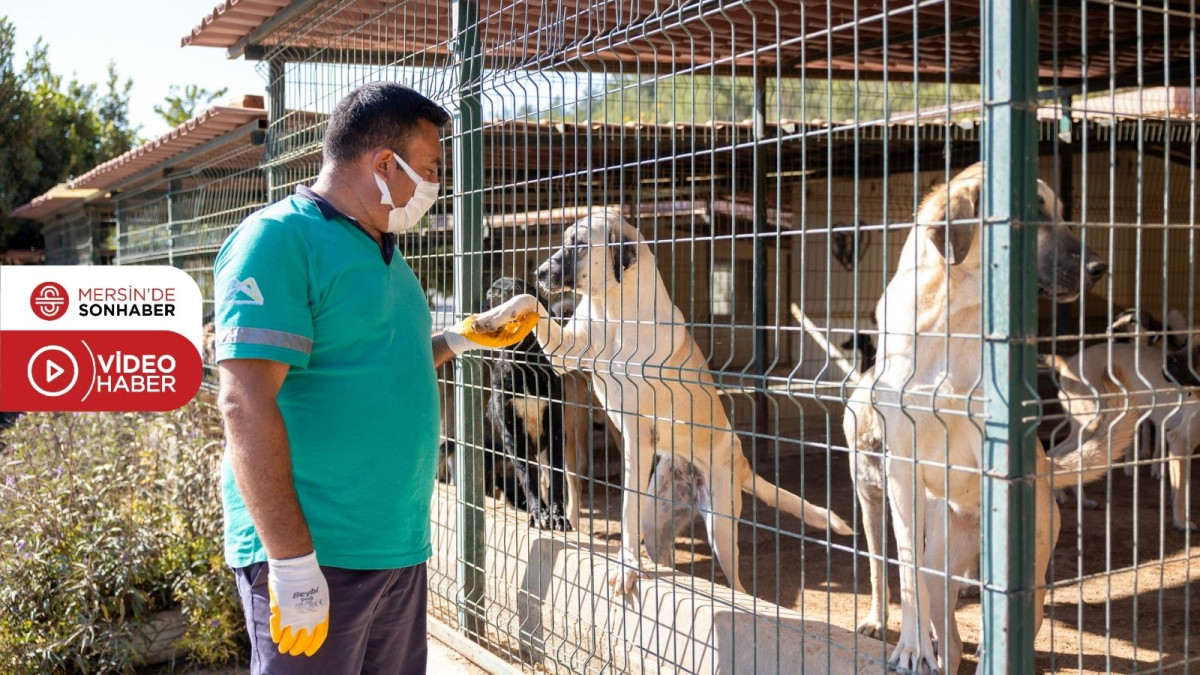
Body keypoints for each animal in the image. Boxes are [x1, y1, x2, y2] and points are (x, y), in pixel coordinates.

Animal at [482, 276, 571, 528]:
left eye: (522, 288)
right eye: (493, 292)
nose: (492, 292)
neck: (525, 364)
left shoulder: (555, 431)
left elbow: (556, 478)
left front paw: (557, 514)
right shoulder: (512, 436)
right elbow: (528, 479)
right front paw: (538, 513)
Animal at [840, 164, 1128, 672]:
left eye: (1059, 213)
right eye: (1032, 211)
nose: (1099, 268)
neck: (948, 316)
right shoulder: (899, 473)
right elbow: (905, 575)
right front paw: (909, 649)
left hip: (1029, 565)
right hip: (940, 566)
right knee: (949, 635)